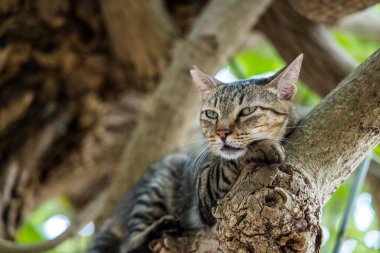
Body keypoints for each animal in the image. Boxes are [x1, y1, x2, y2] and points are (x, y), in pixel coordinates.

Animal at [89, 54, 302, 252]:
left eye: (247, 111)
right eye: (211, 114)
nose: (221, 133)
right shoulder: (205, 192)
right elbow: (227, 164)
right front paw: (263, 146)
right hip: (158, 183)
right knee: (128, 244)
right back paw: (161, 226)